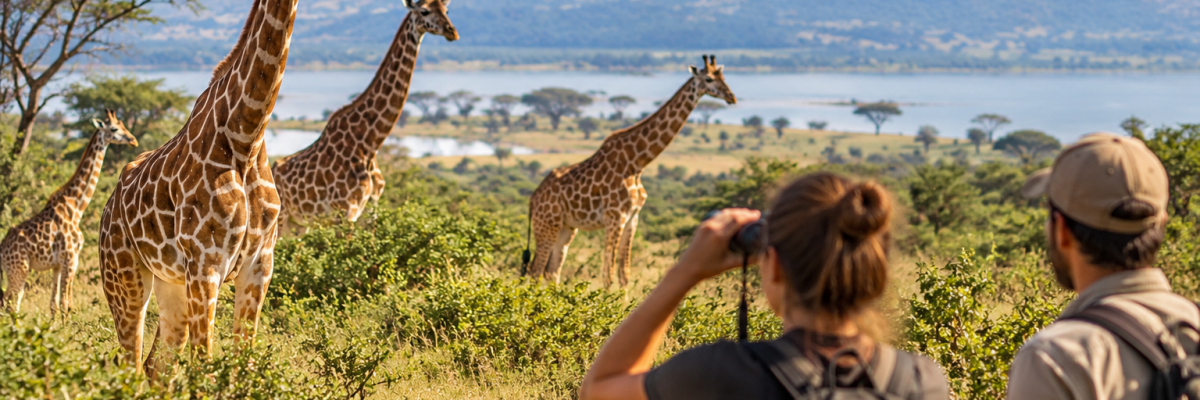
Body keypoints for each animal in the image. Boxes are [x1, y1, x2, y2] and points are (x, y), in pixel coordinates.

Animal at [0, 110, 137, 316]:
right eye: (114, 128)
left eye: (123, 125)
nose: (133, 140)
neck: (76, 207)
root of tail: (1, 250)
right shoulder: (71, 258)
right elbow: (66, 304)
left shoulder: (58, 264)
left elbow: (54, 305)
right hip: (19, 269)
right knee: (8, 303)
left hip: (16, 271)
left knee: (11, 304)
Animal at [97, 0, 295, 372]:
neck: (247, 134)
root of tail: (107, 207)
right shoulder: (206, 265)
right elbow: (204, 367)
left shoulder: (259, 266)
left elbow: (242, 366)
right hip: (124, 279)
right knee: (131, 364)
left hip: (171, 284)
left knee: (155, 366)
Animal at [272, 0, 458, 236]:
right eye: (424, 11)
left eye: (446, 10)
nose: (452, 32)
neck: (369, 143)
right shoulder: (345, 211)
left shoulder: (371, 207)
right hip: (283, 219)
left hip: (300, 223)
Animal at [523, 55, 737, 287]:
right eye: (708, 79)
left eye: (724, 77)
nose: (731, 97)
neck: (636, 164)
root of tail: (533, 199)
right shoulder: (615, 218)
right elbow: (608, 274)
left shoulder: (633, 218)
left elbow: (624, 273)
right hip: (547, 226)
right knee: (536, 269)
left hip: (566, 228)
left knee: (552, 271)